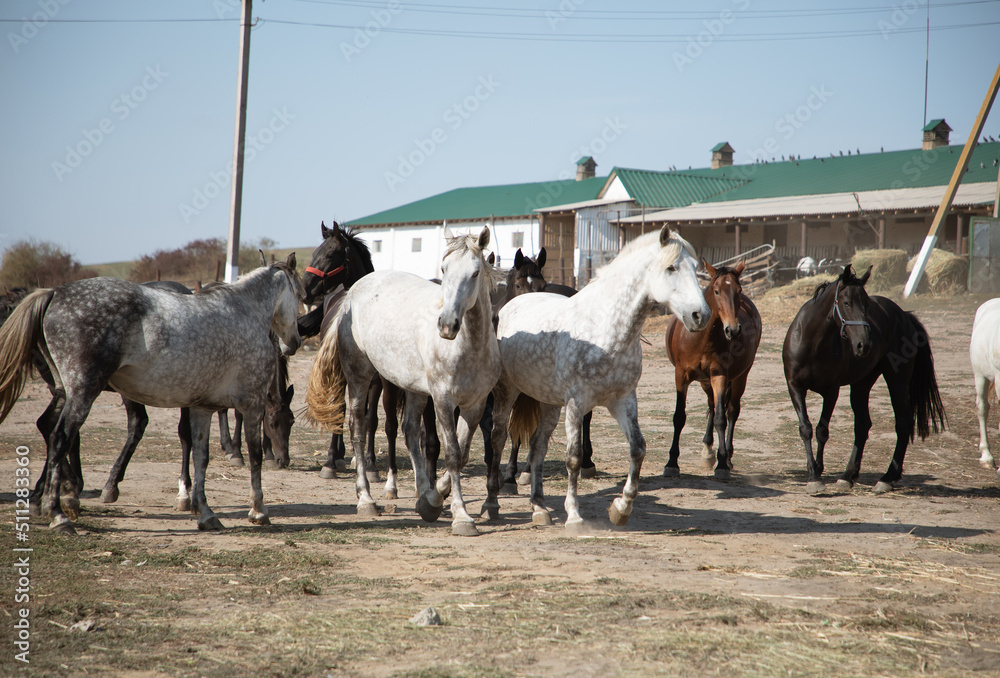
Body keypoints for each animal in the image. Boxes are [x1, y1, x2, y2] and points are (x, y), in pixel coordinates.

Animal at [0, 254, 303, 533]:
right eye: (299, 295)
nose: (295, 342)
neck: (245, 311)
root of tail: (54, 292)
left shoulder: (202, 407)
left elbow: (200, 457)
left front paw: (205, 513)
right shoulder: (252, 405)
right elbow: (255, 455)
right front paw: (258, 510)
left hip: (63, 391)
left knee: (53, 432)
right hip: (83, 392)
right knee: (61, 438)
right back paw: (59, 513)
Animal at [307, 227, 502, 536]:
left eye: (475, 273)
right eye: (444, 269)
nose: (447, 325)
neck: (469, 347)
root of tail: (349, 294)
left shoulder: (475, 404)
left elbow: (461, 453)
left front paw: (436, 496)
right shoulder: (443, 400)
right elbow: (452, 453)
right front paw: (461, 516)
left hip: (413, 388)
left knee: (410, 431)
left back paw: (424, 495)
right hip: (361, 378)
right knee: (358, 428)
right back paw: (366, 498)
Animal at [487, 227, 710, 532]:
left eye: (696, 268)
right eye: (671, 267)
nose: (701, 315)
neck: (605, 329)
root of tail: (508, 307)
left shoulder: (623, 400)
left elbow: (638, 449)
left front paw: (621, 508)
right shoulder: (576, 402)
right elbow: (574, 457)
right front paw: (574, 515)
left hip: (550, 403)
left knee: (537, 447)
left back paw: (539, 507)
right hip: (507, 392)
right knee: (498, 438)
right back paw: (491, 503)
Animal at [663, 261, 761, 479]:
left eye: (739, 290)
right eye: (716, 291)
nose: (733, 330)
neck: (701, 338)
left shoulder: (720, 376)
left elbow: (720, 419)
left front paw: (722, 464)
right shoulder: (681, 376)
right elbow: (679, 417)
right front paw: (672, 463)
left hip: (740, 377)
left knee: (732, 411)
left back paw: (728, 456)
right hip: (705, 382)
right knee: (711, 404)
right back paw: (707, 451)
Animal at [782, 264, 946, 494]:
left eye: (867, 304)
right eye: (846, 303)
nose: (864, 344)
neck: (812, 343)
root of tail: (904, 316)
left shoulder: (831, 391)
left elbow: (822, 430)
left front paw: (817, 472)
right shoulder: (795, 387)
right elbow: (806, 428)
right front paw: (814, 474)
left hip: (897, 382)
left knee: (902, 423)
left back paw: (887, 478)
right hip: (861, 385)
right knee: (862, 425)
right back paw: (847, 476)